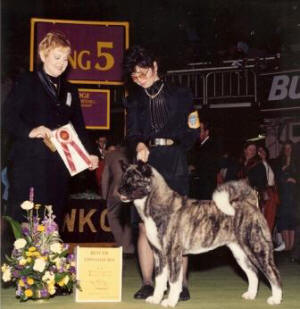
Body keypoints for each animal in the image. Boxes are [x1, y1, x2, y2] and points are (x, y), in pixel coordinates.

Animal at [118, 161, 282, 306]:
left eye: (133, 179)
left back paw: (276, 299)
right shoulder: (159, 255)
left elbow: (174, 281)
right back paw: (251, 295)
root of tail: (251, 204)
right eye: (123, 178)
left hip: (258, 249)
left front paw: (170, 301)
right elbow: (159, 280)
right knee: (253, 273)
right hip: (239, 253)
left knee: (273, 273)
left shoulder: (172, 253)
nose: (119, 190)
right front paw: (156, 298)